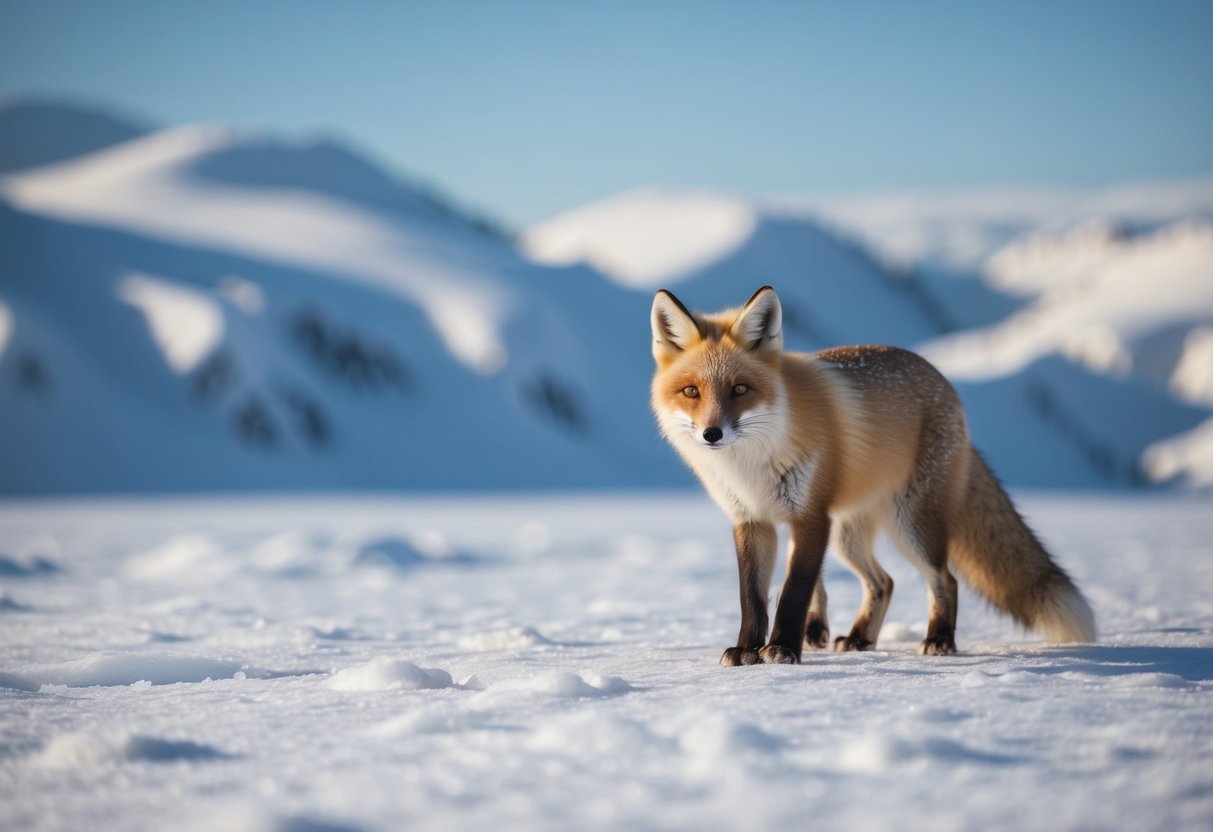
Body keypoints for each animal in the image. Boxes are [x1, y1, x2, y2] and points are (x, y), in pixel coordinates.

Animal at [650, 285, 1096, 666]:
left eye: (740, 390)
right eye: (691, 392)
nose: (712, 433)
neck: (752, 465)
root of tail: (944, 382)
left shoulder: (810, 517)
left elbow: (793, 592)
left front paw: (782, 650)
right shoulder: (751, 520)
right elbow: (753, 598)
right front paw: (747, 651)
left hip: (909, 524)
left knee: (945, 579)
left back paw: (939, 640)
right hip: (847, 535)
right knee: (884, 582)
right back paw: (860, 637)